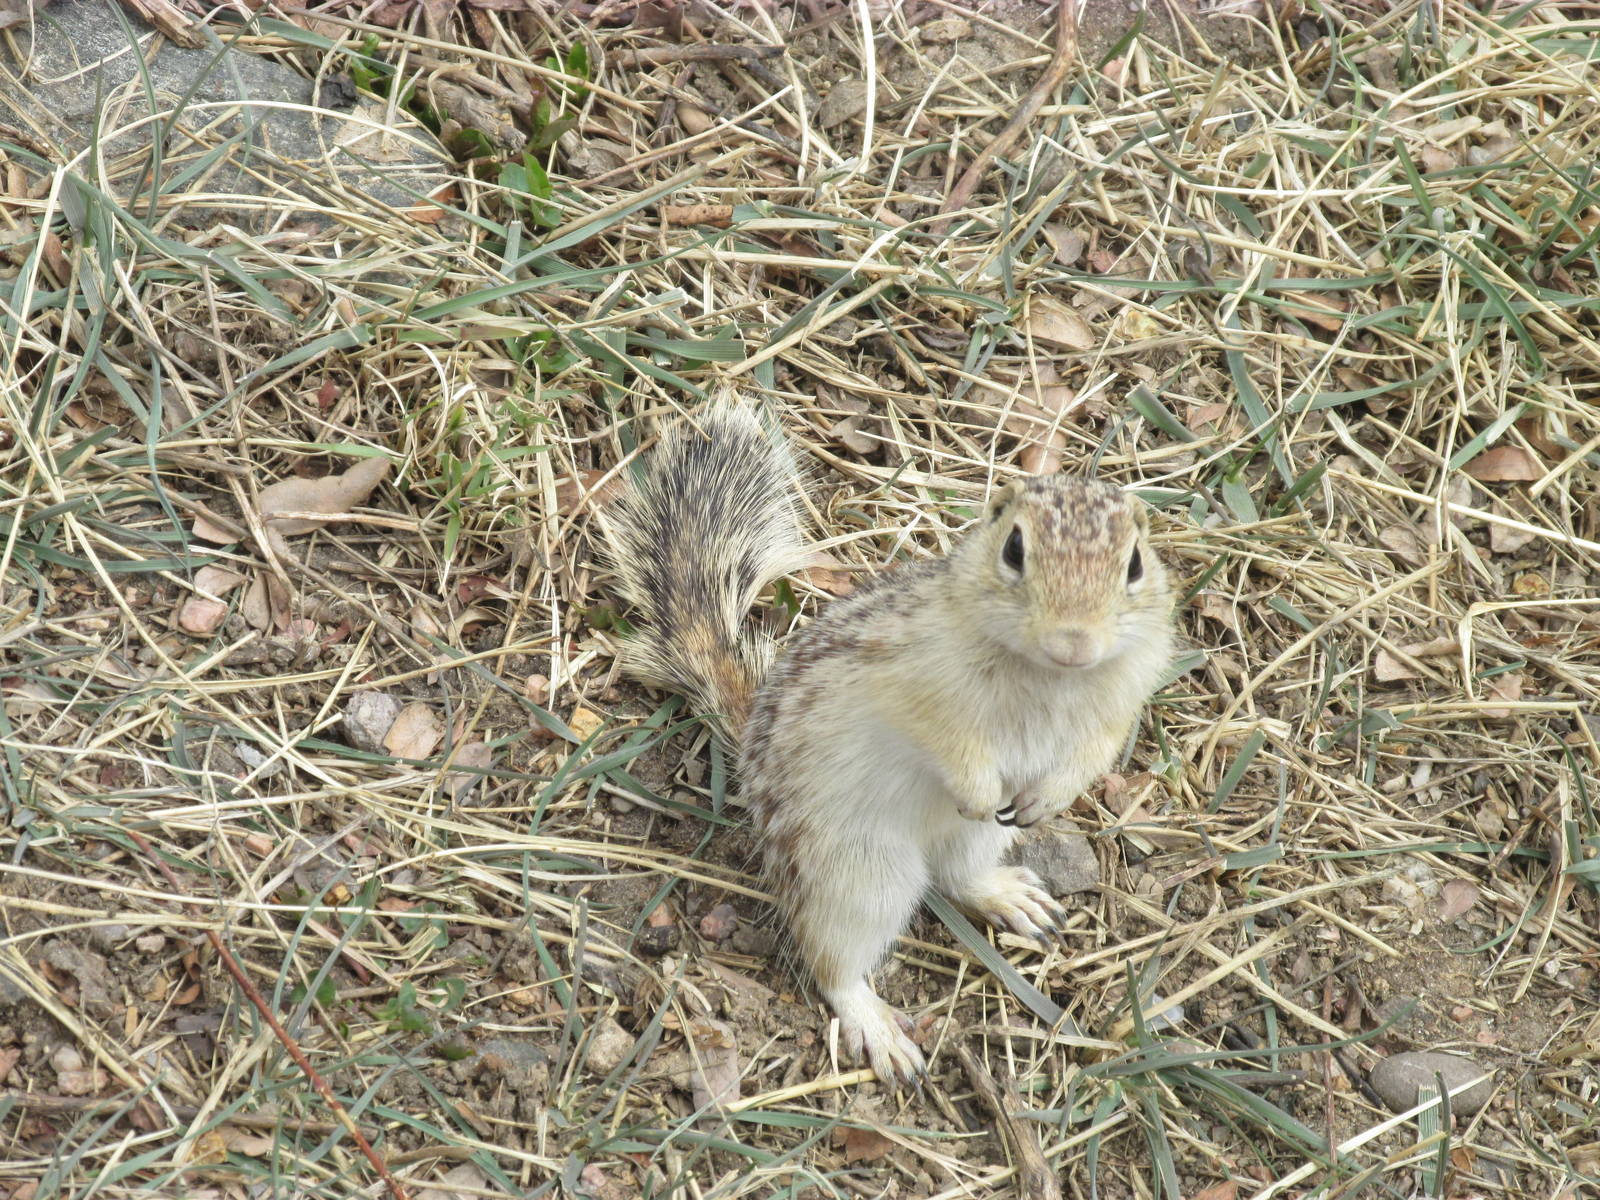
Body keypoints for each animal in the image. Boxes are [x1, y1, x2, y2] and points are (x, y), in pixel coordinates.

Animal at [604, 403, 1177, 1084]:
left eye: (1136, 564)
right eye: (1014, 549)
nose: (1074, 642)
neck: (1051, 677)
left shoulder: (1123, 696)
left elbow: (1096, 750)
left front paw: (1051, 799)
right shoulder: (918, 688)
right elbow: (946, 738)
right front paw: (979, 788)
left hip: (970, 844)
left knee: (956, 877)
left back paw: (1009, 896)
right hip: (857, 875)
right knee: (833, 963)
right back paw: (876, 1027)